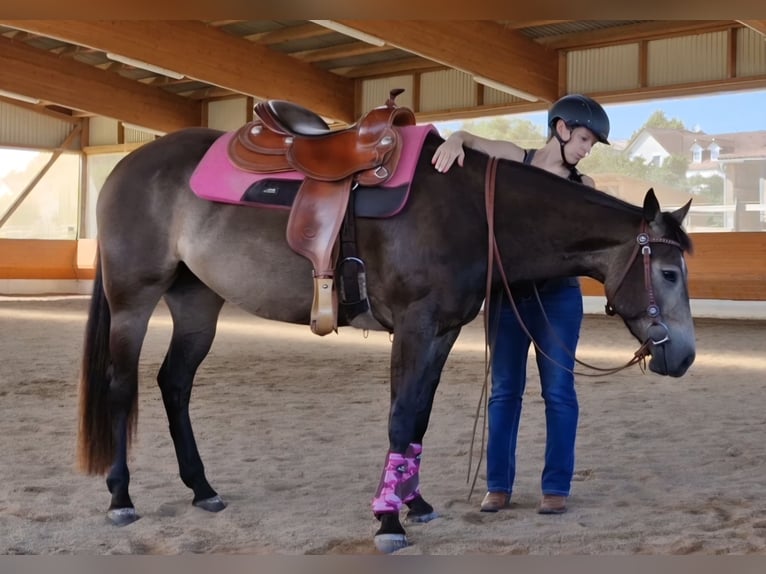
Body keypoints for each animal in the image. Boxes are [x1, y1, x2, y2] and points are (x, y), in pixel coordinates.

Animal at [78, 125, 695, 553]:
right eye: (668, 272)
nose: (685, 355)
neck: (471, 211)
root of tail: (126, 166)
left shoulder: (441, 332)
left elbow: (416, 418)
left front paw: (412, 502)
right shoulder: (416, 328)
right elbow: (400, 419)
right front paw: (388, 520)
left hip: (196, 302)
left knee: (174, 384)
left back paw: (202, 489)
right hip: (133, 300)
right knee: (121, 386)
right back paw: (120, 498)